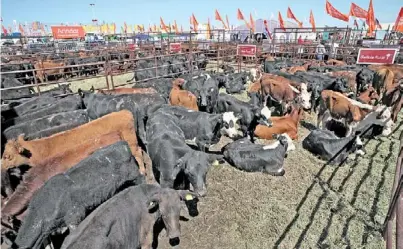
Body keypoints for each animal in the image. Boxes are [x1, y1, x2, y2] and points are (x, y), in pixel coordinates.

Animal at [0, 109, 146, 175]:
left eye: (7, 156)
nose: (1, 167)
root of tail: (124, 112)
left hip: (131, 142)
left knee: (138, 153)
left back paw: (143, 171)